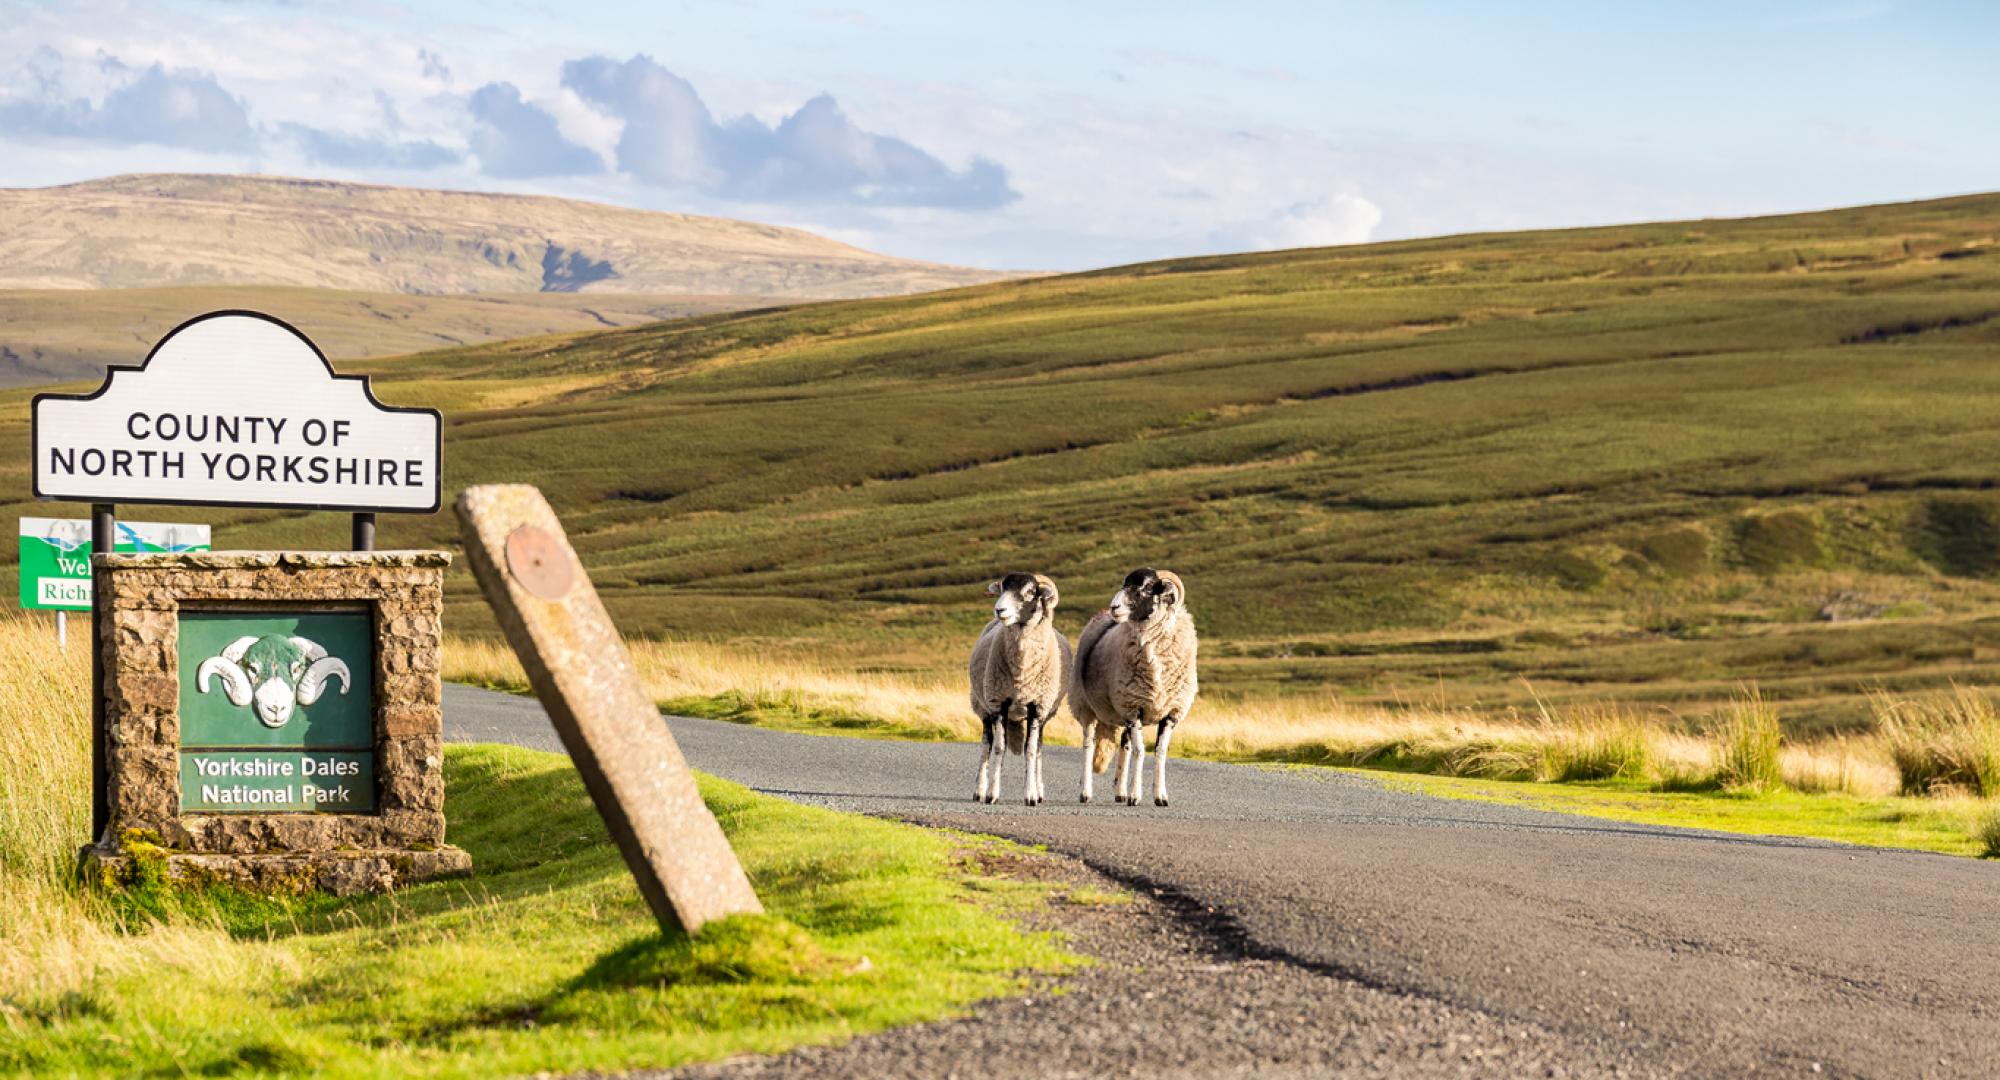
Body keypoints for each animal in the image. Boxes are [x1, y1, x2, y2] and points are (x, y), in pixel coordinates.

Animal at [964, 572, 1072, 800]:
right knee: (986, 745)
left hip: (1044, 714)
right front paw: (992, 793)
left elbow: (1031, 750)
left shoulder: (1037, 707)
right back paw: (979, 789)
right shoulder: (999, 703)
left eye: (1030, 592)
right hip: (983, 706)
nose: (999, 610)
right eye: (1003, 588)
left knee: (1038, 747)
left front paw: (1031, 794)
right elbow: (999, 747)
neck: (1022, 672)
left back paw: (1039, 790)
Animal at [1072, 568, 1192, 804]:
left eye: (1145, 588)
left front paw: (1160, 796)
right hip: (1085, 706)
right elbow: (1140, 751)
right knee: (1088, 745)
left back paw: (1120, 792)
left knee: (1124, 746)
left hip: (1120, 710)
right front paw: (1136, 796)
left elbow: (1160, 752)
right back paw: (1086, 792)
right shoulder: (1134, 708)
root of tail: (1100, 614)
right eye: (1124, 584)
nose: (1114, 607)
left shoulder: (1170, 712)